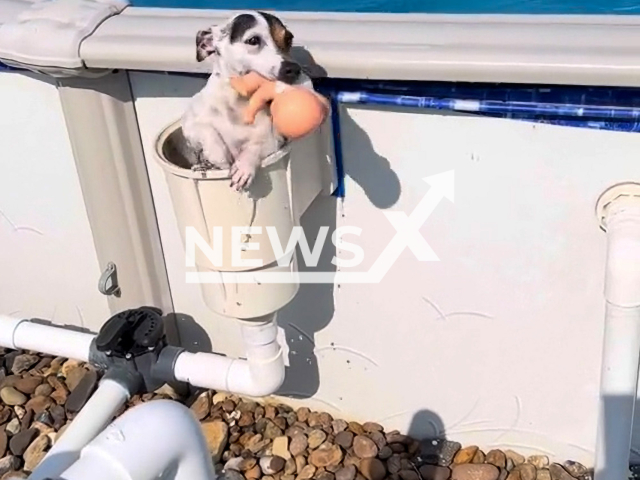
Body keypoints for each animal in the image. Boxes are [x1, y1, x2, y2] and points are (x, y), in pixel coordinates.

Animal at [181, 10, 314, 190]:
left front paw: (244, 167)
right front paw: (218, 156)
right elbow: (208, 133)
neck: (238, 102)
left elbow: (254, 148)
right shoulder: (189, 125)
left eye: (289, 39)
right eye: (253, 40)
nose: (294, 69)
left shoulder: (273, 142)